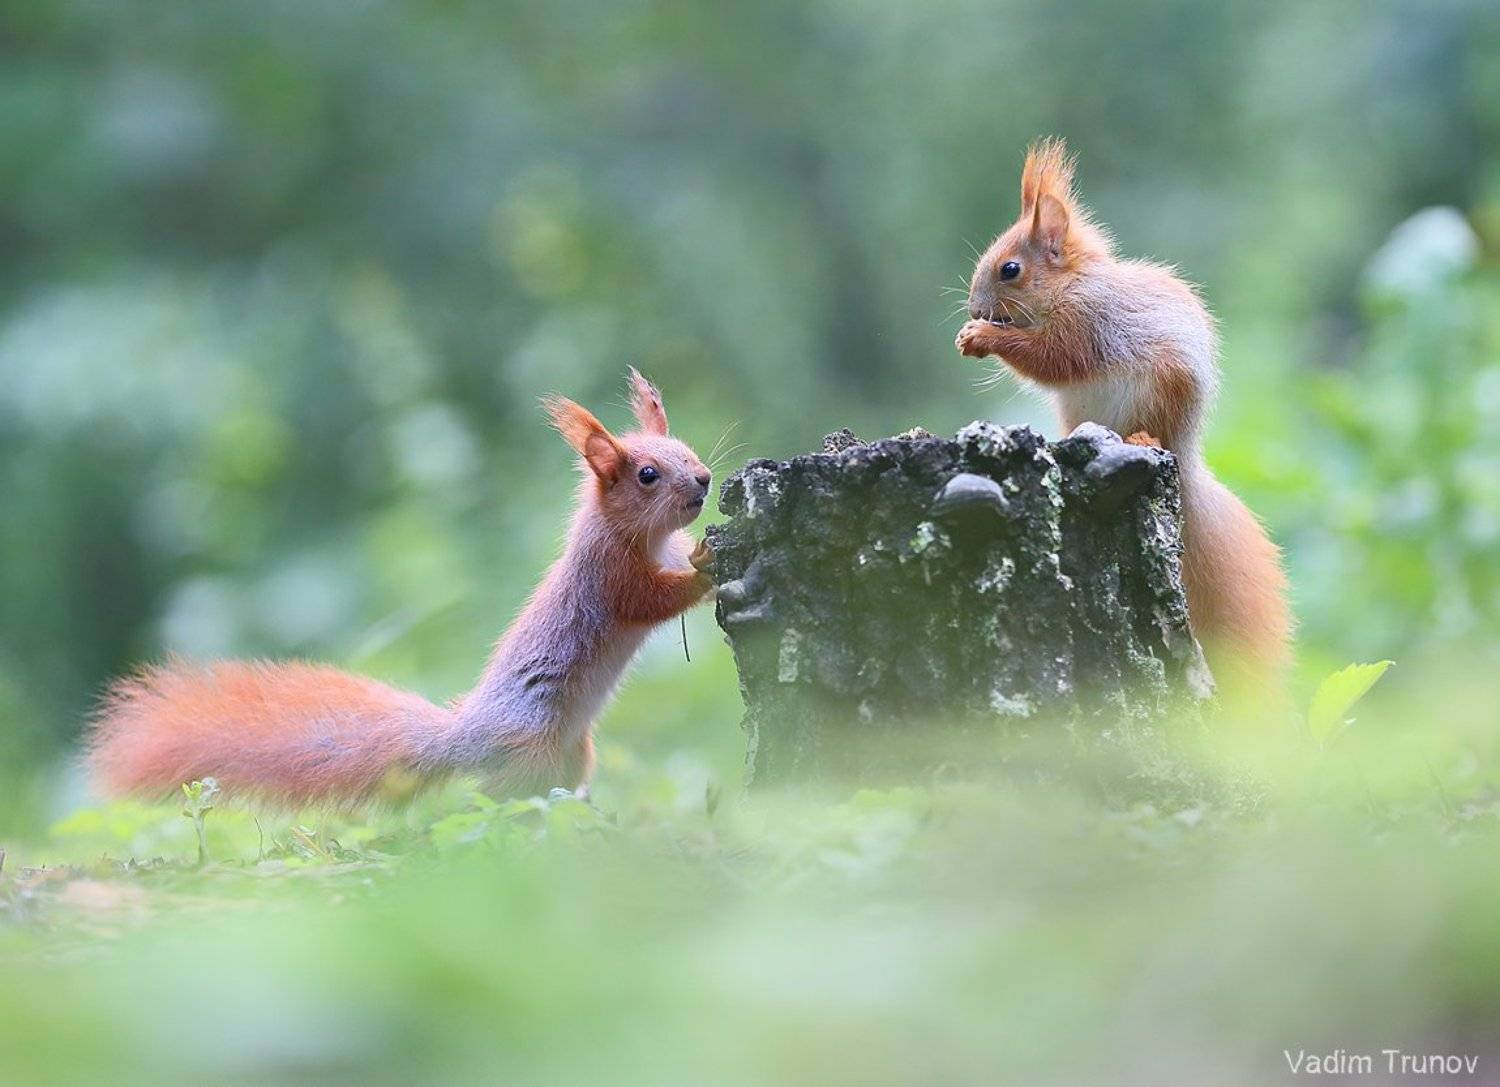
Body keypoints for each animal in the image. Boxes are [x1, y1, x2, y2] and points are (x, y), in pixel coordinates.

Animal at [87, 368, 716, 807]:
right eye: (647, 475)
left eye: (687, 450)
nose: (705, 480)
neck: (639, 536)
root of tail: (466, 737)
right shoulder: (609, 575)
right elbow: (650, 600)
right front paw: (706, 570)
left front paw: (701, 547)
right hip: (529, 752)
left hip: (574, 752)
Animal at [954, 138, 1291, 697]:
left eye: (1010, 270)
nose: (976, 309)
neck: (1070, 286)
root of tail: (1184, 452)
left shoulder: (1088, 325)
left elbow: (1051, 358)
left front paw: (982, 338)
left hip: (1163, 391)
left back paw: (1141, 436)